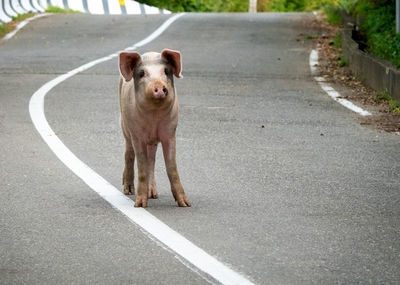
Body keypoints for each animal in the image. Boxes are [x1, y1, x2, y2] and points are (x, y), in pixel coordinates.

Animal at [118, 50, 191, 207]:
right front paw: (139, 205)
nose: (158, 86)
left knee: (151, 160)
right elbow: (141, 167)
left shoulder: (170, 132)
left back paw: (153, 195)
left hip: (152, 141)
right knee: (129, 154)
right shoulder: (137, 135)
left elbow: (171, 167)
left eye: (166, 71)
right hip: (125, 126)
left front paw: (185, 204)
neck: (153, 117)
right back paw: (128, 191)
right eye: (141, 73)